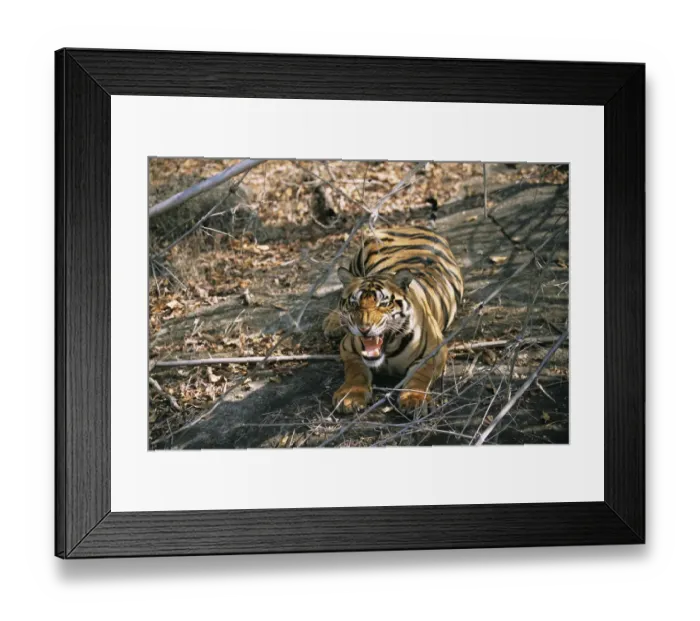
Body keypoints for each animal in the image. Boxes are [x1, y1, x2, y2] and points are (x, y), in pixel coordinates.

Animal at [323, 225, 464, 413]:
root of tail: (414, 225)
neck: (388, 350)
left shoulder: (435, 352)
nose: (363, 328)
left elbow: (420, 375)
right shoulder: (348, 348)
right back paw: (332, 324)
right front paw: (350, 397)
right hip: (358, 260)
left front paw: (414, 399)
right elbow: (356, 371)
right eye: (354, 303)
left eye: (383, 303)